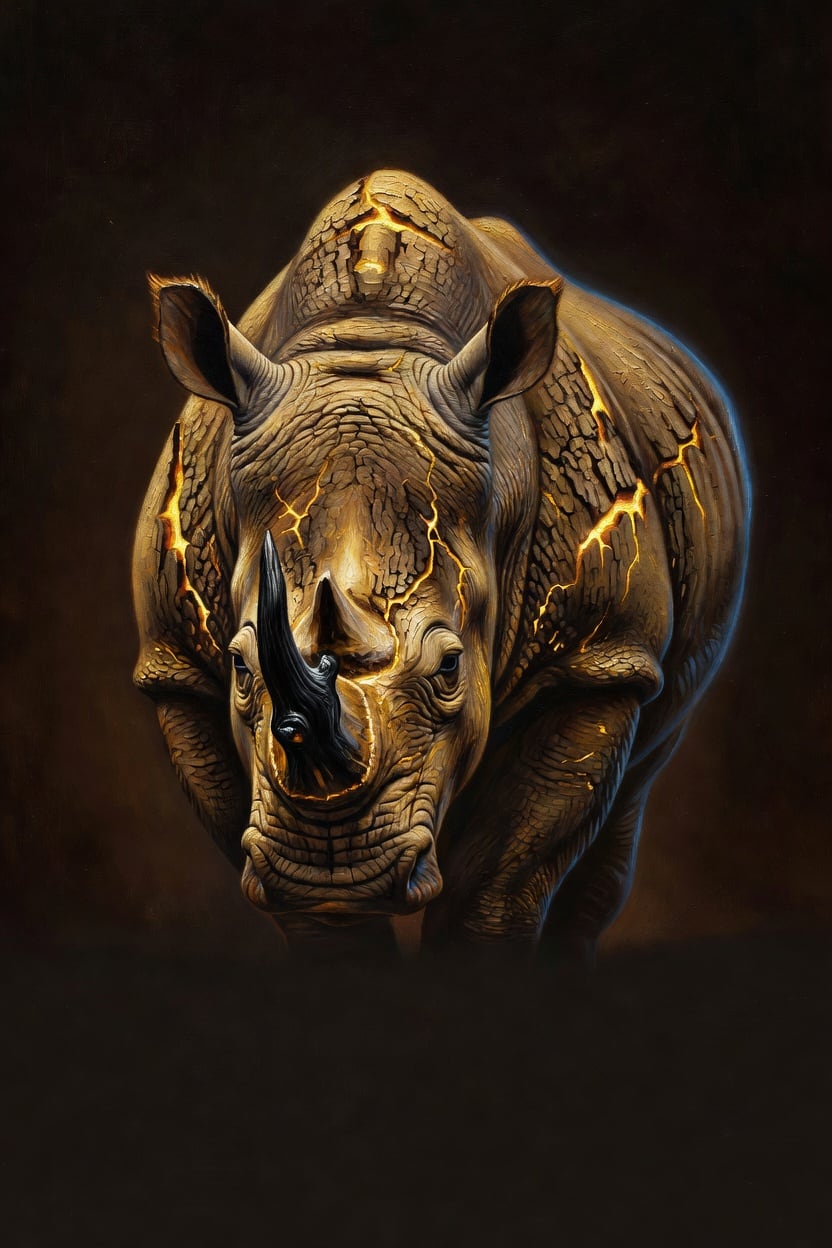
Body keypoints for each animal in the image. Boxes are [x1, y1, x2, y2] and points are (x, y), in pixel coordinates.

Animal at [133, 169, 749, 958]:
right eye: (240, 665)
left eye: (452, 666)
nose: (334, 871)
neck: (372, 338)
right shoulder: (177, 666)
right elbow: (320, 927)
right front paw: (332, 915)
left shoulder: (598, 656)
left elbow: (497, 885)